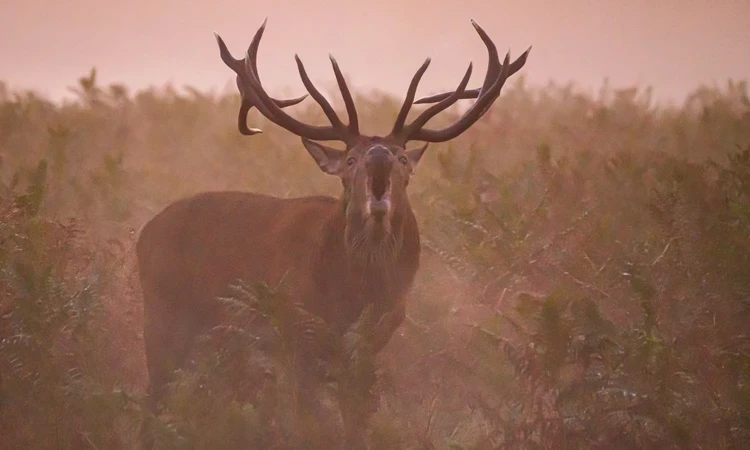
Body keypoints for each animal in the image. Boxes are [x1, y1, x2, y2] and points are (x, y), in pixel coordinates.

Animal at [136, 18, 530, 448]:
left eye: (402, 157)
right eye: (351, 159)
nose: (379, 157)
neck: (357, 291)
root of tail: (144, 233)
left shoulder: (371, 342)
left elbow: (355, 420)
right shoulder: (297, 332)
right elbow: (311, 423)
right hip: (163, 317)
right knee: (151, 402)